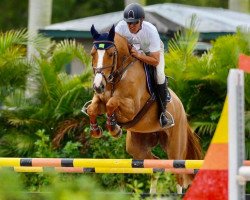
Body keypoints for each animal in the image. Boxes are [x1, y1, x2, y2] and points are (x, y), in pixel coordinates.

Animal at [86, 25, 203, 192]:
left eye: (110, 54)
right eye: (92, 54)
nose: (98, 86)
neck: (118, 75)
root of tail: (181, 107)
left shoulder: (131, 107)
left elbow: (112, 103)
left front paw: (114, 128)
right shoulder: (100, 99)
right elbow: (93, 109)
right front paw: (96, 130)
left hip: (175, 146)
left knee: (178, 173)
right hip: (137, 147)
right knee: (155, 165)